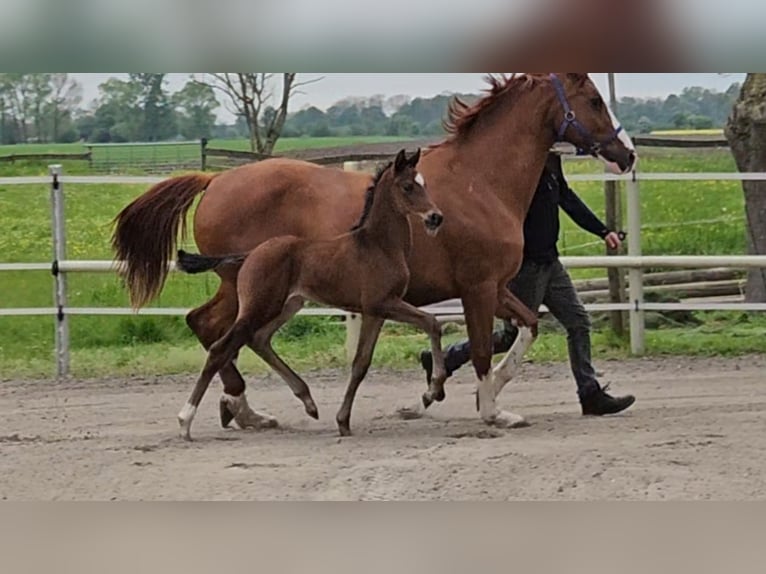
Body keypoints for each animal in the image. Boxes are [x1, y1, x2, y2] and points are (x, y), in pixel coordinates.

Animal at [176, 148, 448, 440]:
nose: (435, 217)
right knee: (220, 347)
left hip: (289, 305)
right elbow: (422, 327)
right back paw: (185, 420)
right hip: (259, 307)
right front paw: (431, 391)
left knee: (258, 339)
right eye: (408, 186)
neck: (378, 245)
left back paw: (307, 401)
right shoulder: (381, 304)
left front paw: (345, 420)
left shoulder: (378, 311)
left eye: (424, 184)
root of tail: (251, 254)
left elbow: (368, 359)